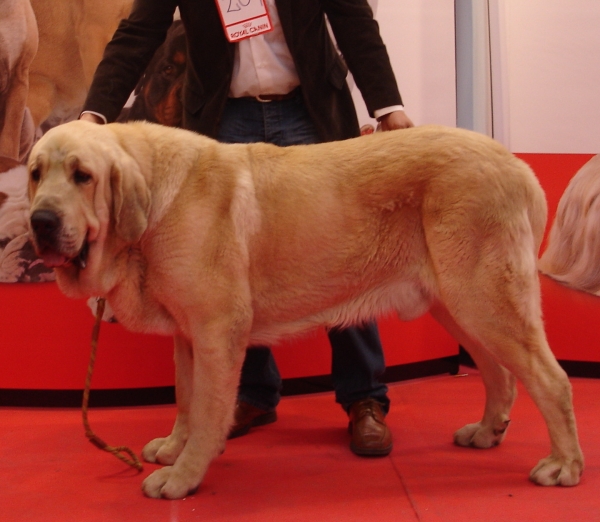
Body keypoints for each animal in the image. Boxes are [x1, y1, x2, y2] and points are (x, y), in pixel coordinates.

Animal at [27, 120, 580, 498]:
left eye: (82, 176)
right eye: (35, 173)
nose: (41, 221)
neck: (154, 203)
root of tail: (518, 164)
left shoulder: (215, 330)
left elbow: (206, 410)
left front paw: (183, 476)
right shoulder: (188, 334)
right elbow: (186, 399)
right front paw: (173, 447)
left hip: (485, 298)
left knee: (550, 380)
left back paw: (564, 465)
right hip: (459, 305)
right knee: (501, 374)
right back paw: (487, 432)